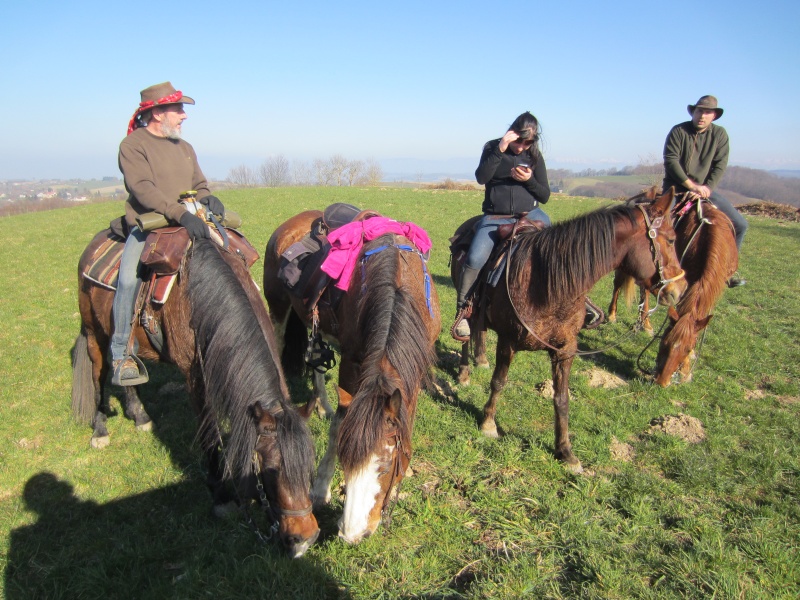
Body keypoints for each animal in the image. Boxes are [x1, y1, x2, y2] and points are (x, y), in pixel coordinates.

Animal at [70, 232, 318, 556]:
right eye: (272, 470)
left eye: (311, 463)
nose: (306, 538)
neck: (201, 300)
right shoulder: (195, 377)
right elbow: (209, 432)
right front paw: (221, 496)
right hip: (94, 332)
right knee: (98, 375)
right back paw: (100, 429)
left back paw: (139, 416)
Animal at [262, 211, 440, 544]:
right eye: (347, 461)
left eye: (385, 466)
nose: (352, 534)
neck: (399, 281)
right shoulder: (352, 363)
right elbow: (340, 425)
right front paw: (321, 488)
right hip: (278, 309)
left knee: (316, 366)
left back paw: (321, 404)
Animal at [450, 190, 688, 472]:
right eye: (671, 239)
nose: (680, 289)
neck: (545, 283)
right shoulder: (508, 341)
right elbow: (499, 382)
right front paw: (488, 424)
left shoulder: (566, 349)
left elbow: (561, 399)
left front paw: (565, 451)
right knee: (467, 331)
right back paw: (465, 372)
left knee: (481, 331)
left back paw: (482, 358)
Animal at [608, 188, 740, 386]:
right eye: (664, 342)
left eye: (688, 348)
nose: (661, 381)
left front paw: (687, 367)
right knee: (620, 285)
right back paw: (613, 315)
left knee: (646, 291)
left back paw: (645, 323)